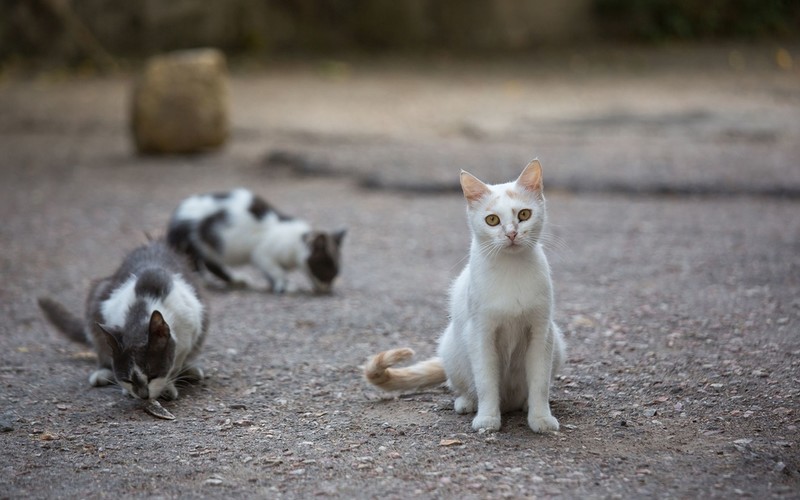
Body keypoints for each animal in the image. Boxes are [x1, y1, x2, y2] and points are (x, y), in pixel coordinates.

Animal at [38, 239, 208, 402]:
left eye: (153, 375)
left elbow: (176, 362)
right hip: (98, 294)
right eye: (128, 380)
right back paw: (102, 372)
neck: (144, 303)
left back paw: (190, 370)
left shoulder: (190, 323)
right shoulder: (109, 309)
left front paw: (168, 385)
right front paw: (128, 390)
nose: (143, 395)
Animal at [167, 189, 346, 294]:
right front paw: (284, 286)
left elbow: (271, 273)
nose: (327, 288)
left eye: (336, 272)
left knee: (211, 264)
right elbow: (276, 270)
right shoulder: (263, 254)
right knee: (194, 262)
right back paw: (203, 282)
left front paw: (276, 284)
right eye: (326, 268)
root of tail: (176, 216)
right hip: (193, 242)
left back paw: (236, 280)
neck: (296, 241)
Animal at [366, 161, 564, 434]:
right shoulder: (480, 333)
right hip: (451, 347)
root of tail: (509, 403)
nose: (511, 233)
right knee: (464, 385)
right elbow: (486, 381)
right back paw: (468, 402)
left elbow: (540, 382)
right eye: (492, 220)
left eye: (524, 215)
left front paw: (541, 418)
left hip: (558, 343)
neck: (511, 269)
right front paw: (488, 419)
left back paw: (523, 404)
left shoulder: (541, 332)